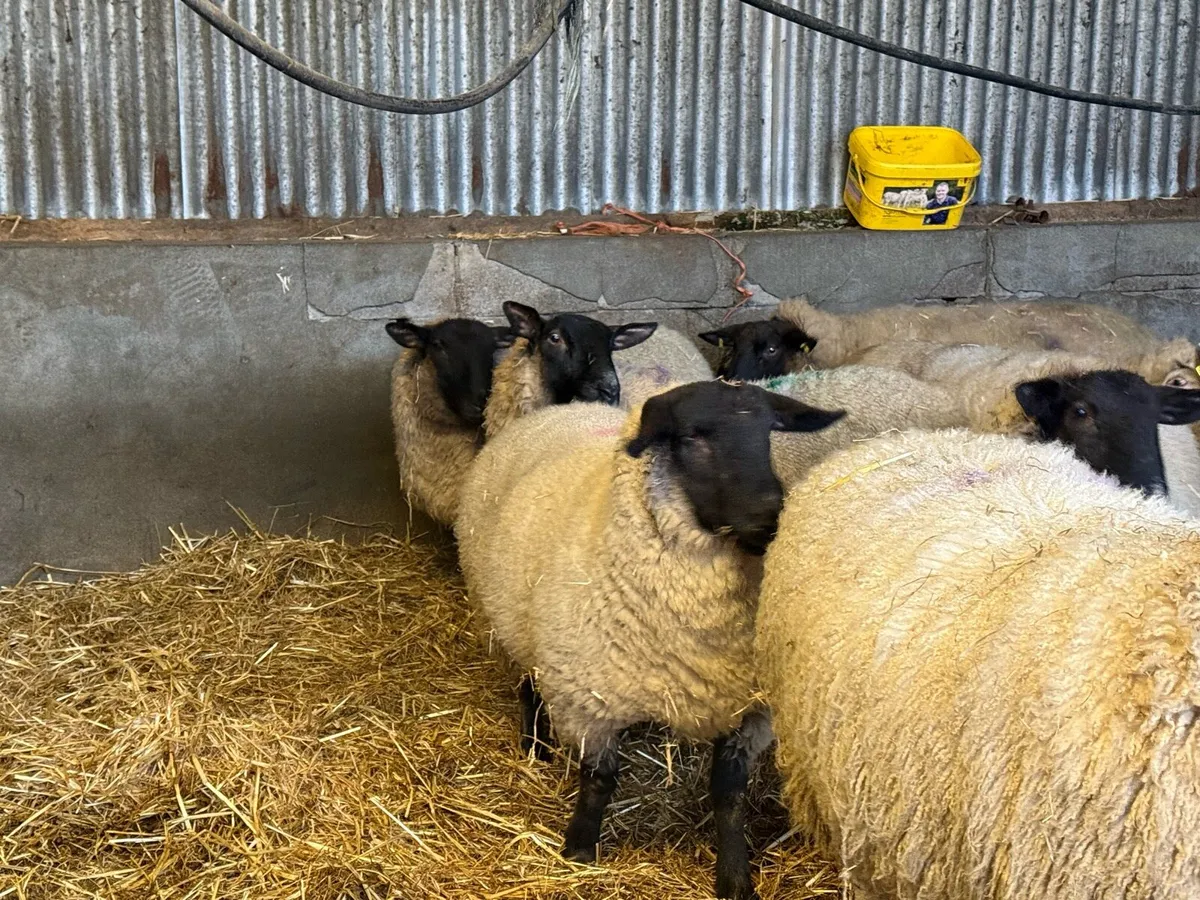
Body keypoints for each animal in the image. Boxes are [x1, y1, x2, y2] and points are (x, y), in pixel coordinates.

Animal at [455, 381, 844, 899]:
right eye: (692, 436)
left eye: (768, 431)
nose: (769, 516)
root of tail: (564, 409)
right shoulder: (587, 701)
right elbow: (599, 781)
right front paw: (579, 849)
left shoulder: (746, 710)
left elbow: (729, 793)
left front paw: (735, 876)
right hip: (512, 623)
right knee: (528, 683)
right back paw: (535, 745)